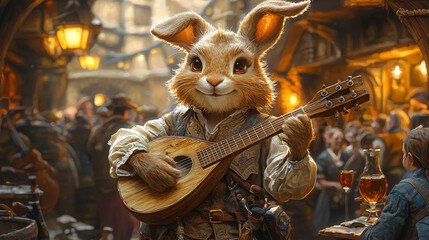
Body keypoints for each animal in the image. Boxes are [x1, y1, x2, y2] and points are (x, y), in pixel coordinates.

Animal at [109, 0, 318, 239]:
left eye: (240, 66)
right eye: (196, 64)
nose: (214, 82)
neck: (217, 115)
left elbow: (280, 183)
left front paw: (300, 135)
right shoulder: (168, 120)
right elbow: (129, 133)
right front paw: (155, 168)